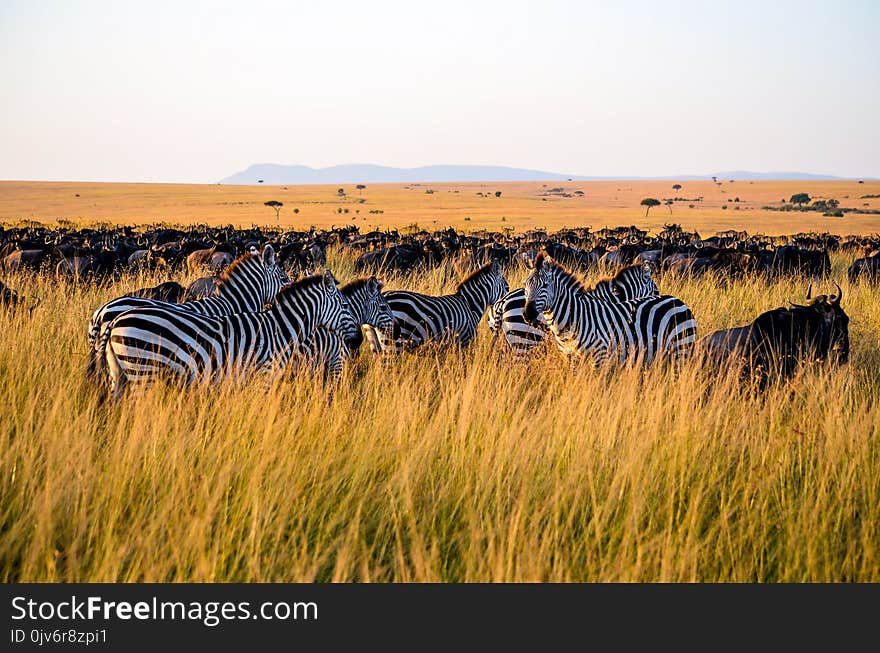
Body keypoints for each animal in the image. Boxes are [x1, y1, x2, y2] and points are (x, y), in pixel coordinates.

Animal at [105, 268, 358, 400]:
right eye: (345, 306)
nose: (358, 341)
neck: (281, 329)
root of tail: (116, 320)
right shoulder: (264, 375)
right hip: (143, 370)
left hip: (120, 374)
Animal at [520, 253, 696, 366]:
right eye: (526, 285)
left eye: (545, 285)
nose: (527, 314)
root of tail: (678, 300)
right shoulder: (570, 359)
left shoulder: (601, 358)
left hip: (681, 349)